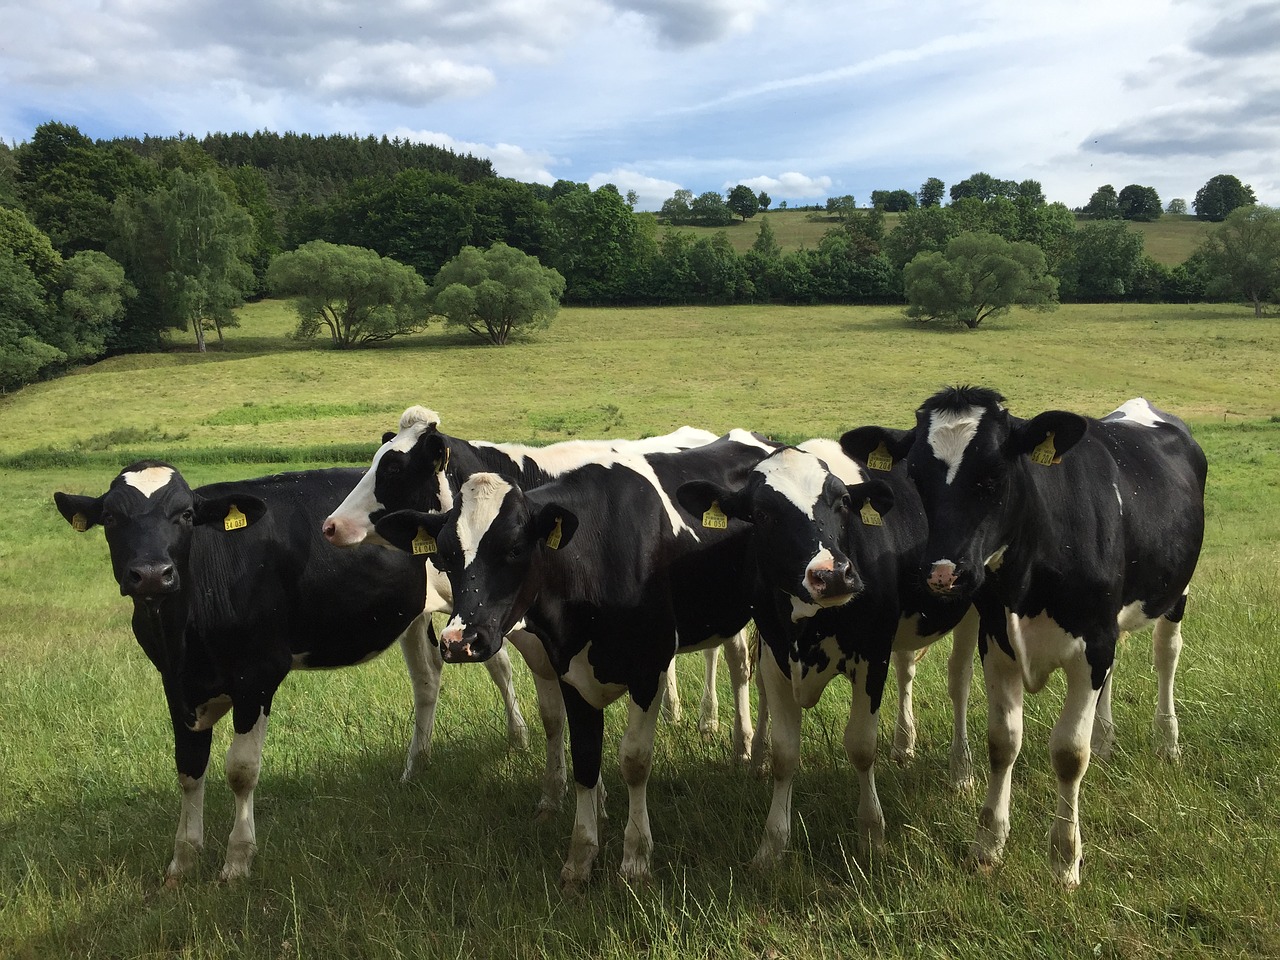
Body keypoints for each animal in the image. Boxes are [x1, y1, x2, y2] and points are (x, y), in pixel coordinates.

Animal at [57, 463, 527, 885]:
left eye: (186, 515)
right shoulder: (176, 684)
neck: (187, 635)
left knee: (501, 666)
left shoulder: (257, 677)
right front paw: (183, 861)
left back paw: (518, 739)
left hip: (480, 611)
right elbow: (189, 770)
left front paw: (237, 861)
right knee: (427, 679)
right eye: (111, 518)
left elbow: (241, 770)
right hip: (412, 614)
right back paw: (415, 767)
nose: (153, 574)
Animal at [322, 409, 757, 814]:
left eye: (393, 468)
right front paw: (554, 796)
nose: (330, 525)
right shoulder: (542, 648)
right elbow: (553, 717)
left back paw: (734, 738)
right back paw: (681, 714)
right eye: (445, 554)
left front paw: (594, 800)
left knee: (735, 660)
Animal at [373, 435, 773, 885]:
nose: (460, 641)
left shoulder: (648, 667)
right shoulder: (569, 669)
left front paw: (635, 858)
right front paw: (580, 858)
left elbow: (635, 761)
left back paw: (751, 753)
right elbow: (584, 759)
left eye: (515, 548)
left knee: (748, 672)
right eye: (444, 555)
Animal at [680, 440, 967, 870]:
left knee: (960, 681)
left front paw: (872, 835)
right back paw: (904, 744)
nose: (832, 575)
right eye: (762, 514)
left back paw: (961, 771)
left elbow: (861, 747)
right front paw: (771, 846)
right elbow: (785, 753)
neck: (808, 626)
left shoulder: (872, 655)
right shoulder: (776, 656)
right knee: (906, 672)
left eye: (844, 502)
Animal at [844, 386, 1203, 890]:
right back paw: (1106, 741)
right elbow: (1003, 742)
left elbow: (1069, 753)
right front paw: (988, 844)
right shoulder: (1000, 643)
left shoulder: (1092, 643)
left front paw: (1065, 860)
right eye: (915, 475)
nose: (942, 573)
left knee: (1166, 655)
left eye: (994, 472)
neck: (1029, 577)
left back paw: (1167, 743)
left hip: (1175, 592)